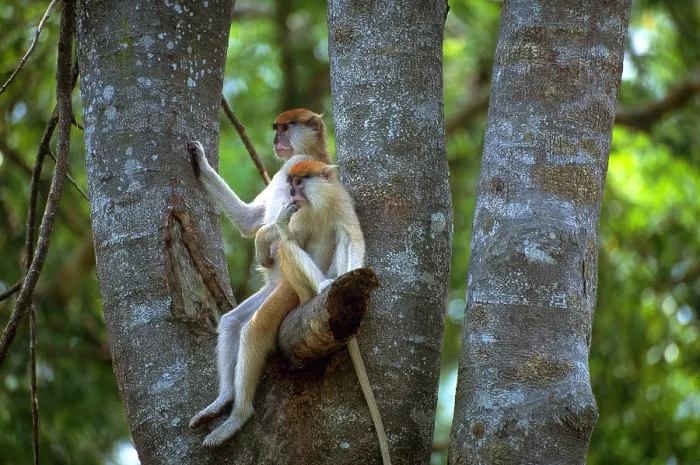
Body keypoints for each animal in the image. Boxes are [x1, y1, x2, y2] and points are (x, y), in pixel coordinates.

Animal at [187, 109, 331, 429]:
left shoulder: (300, 172)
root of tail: (279, 284)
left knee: (255, 330)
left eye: (286, 128)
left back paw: (238, 417)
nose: (276, 140)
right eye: (276, 129)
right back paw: (223, 400)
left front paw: (263, 243)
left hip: (289, 290)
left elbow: (292, 223)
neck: (305, 151)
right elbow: (250, 220)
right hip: (272, 290)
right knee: (231, 322)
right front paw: (199, 162)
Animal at [200, 160, 391, 465]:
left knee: (254, 329)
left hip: (287, 293)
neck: (320, 203)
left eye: (299, 182)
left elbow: (352, 239)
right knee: (237, 316)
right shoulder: (301, 212)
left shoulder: (341, 201)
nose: (291, 191)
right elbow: (284, 236)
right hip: (289, 288)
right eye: (290, 183)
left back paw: (238, 415)